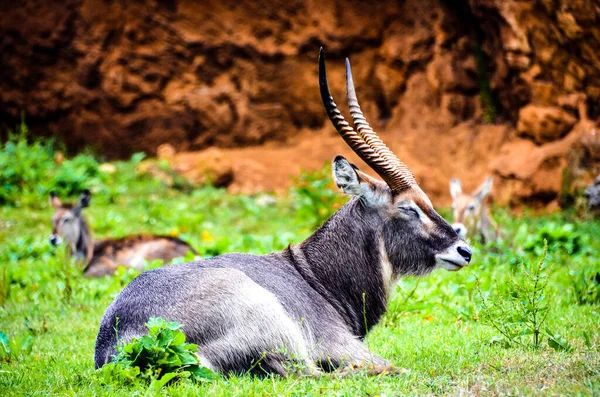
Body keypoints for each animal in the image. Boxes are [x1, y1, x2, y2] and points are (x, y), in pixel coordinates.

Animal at [94, 50, 472, 378]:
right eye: (409, 208)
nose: (464, 250)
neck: (314, 274)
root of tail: (123, 344)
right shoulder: (344, 346)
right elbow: (395, 367)